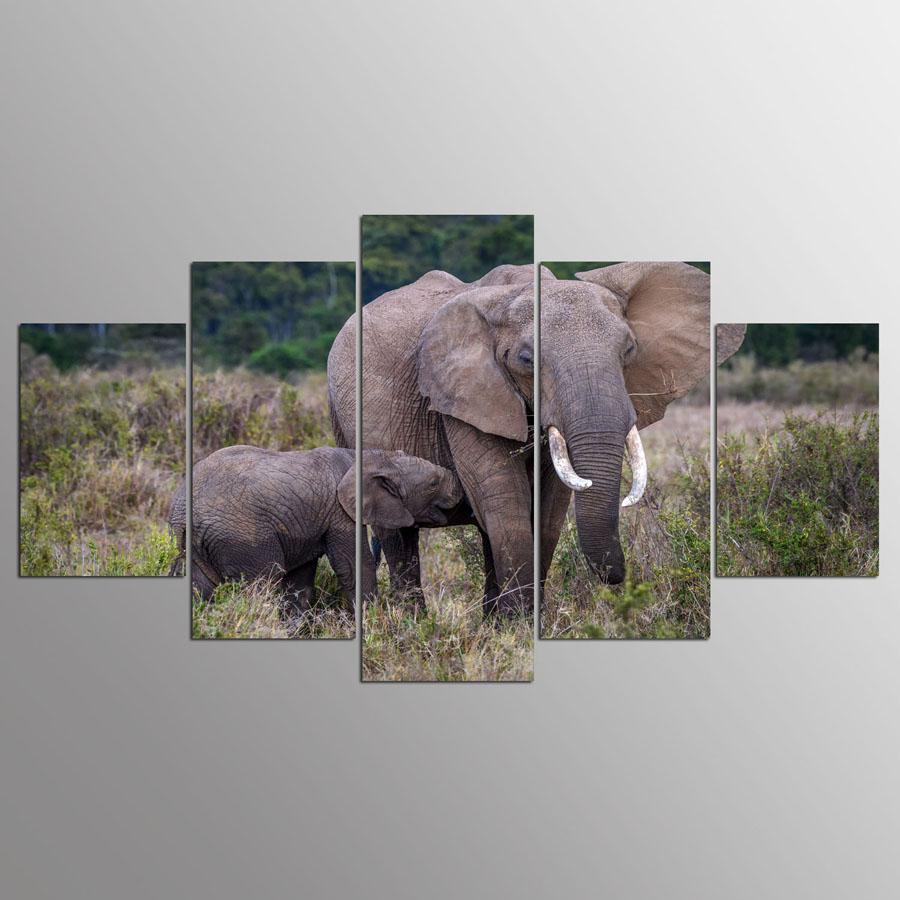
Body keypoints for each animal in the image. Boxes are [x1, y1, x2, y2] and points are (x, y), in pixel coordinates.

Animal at [168, 445, 462, 614]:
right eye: (434, 483)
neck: (370, 456)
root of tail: (183, 516)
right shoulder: (339, 513)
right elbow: (353, 566)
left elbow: (300, 579)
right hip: (243, 537)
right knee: (262, 583)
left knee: (199, 589)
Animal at [327, 262, 745, 618]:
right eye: (527, 360)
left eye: (629, 350)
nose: (619, 580)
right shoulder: (463, 395)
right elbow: (504, 503)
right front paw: (519, 630)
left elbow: (547, 512)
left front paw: (517, 627)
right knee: (399, 536)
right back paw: (412, 627)